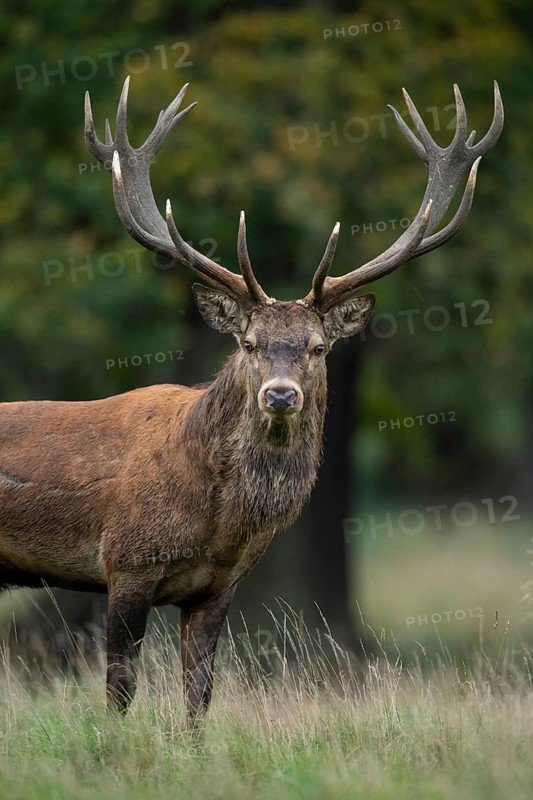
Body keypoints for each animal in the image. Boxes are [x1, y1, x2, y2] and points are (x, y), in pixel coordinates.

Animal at [0, 77, 503, 730]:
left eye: (318, 347)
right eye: (248, 342)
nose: (280, 393)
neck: (217, 521)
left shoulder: (218, 587)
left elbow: (199, 698)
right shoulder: (125, 561)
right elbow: (119, 692)